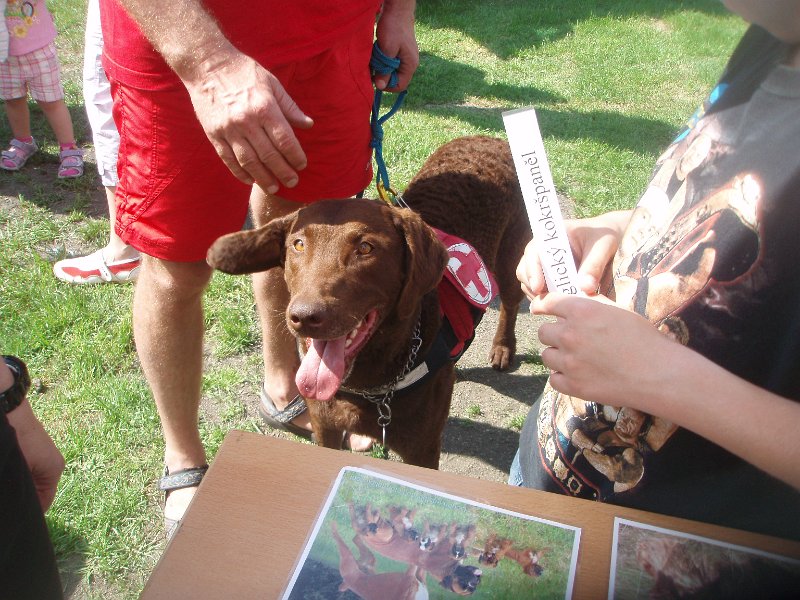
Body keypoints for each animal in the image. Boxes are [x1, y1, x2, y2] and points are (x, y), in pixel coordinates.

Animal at [208, 136, 532, 468]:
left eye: (365, 248)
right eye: (298, 245)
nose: (305, 317)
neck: (366, 388)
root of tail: (488, 139)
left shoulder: (423, 449)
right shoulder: (324, 428)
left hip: (512, 260)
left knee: (510, 303)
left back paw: (503, 348)